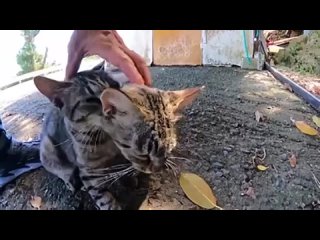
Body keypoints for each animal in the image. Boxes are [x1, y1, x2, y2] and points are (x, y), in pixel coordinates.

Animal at [33, 65, 204, 210]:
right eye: (91, 100)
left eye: (114, 85)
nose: (158, 169)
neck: (108, 143)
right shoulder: (89, 173)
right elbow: (104, 199)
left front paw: (131, 178)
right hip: (49, 149)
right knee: (61, 170)